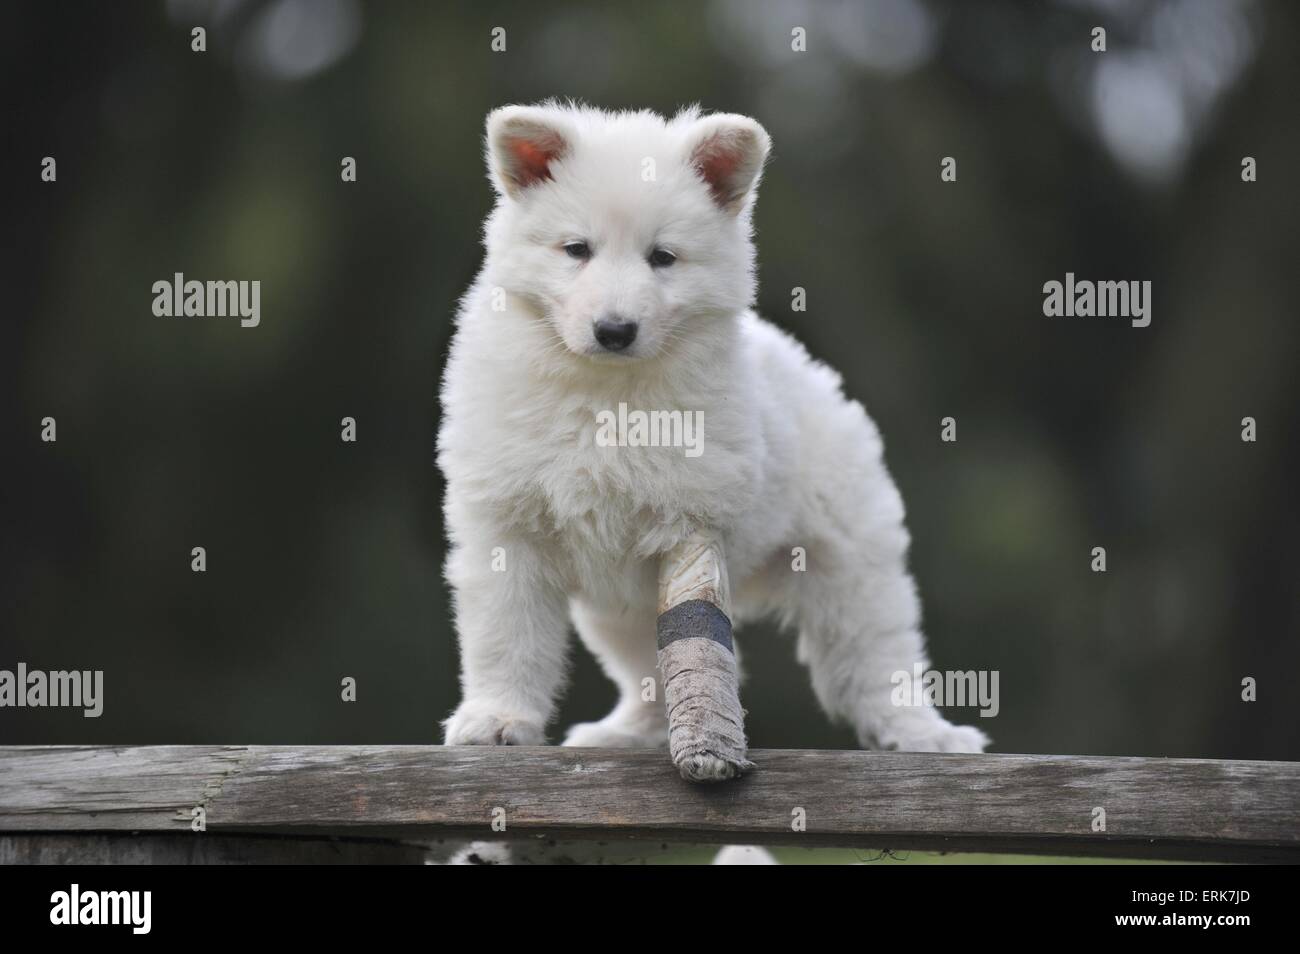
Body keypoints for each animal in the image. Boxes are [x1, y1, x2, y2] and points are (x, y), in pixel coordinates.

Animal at [441, 102, 987, 764]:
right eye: (576, 249)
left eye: (663, 257)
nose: (614, 330)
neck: (607, 395)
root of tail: (810, 367)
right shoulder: (507, 527)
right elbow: (505, 636)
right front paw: (497, 719)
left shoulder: (689, 520)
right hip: (618, 609)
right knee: (644, 673)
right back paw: (625, 732)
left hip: (849, 562)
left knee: (877, 654)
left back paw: (922, 732)